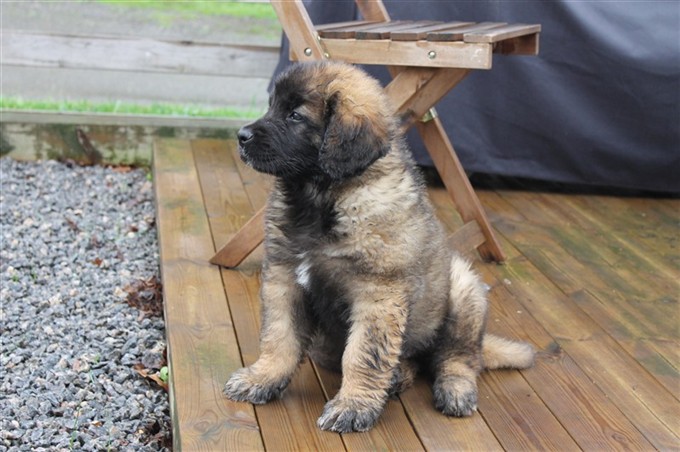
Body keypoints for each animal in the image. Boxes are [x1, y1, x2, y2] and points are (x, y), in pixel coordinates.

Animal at [226, 61, 532, 432]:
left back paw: (455, 389)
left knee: (458, 357)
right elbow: (279, 336)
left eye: (295, 115)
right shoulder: (284, 279)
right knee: (412, 360)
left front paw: (353, 406)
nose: (241, 136)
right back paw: (400, 376)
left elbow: (363, 355)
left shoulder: (377, 293)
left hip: (463, 290)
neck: (323, 197)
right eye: (272, 106)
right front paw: (262, 378)